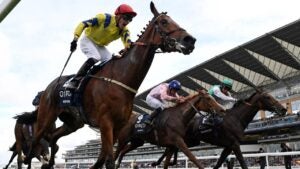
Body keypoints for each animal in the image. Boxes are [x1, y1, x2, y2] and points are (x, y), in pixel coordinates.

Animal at [29, 1, 196, 169]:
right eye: (163, 21)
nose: (190, 40)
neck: (121, 78)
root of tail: (49, 87)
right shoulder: (106, 122)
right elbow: (108, 160)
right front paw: (73, 42)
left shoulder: (118, 125)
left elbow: (103, 158)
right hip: (46, 117)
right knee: (34, 143)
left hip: (73, 123)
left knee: (54, 137)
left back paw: (49, 163)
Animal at [152, 89, 286, 168]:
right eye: (267, 97)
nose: (283, 109)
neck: (236, 118)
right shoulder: (235, 144)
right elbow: (242, 163)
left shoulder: (228, 146)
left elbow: (219, 162)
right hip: (185, 139)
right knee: (171, 148)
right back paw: (159, 162)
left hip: (192, 141)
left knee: (172, 148)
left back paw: (164, 161)